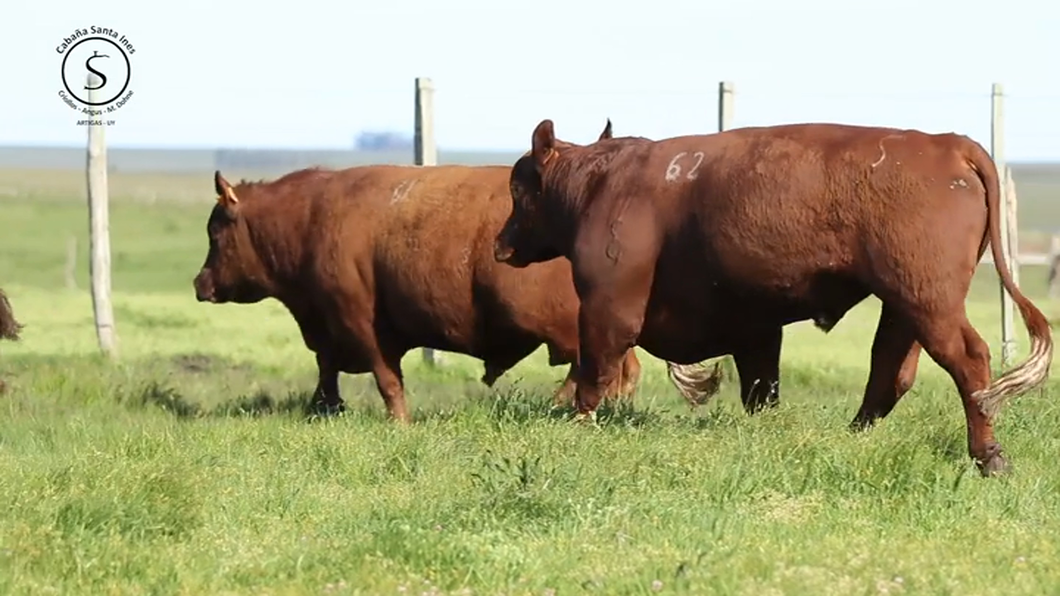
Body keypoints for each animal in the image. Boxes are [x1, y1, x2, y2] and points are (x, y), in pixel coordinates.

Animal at [195, 121, 716, 417]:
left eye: (215, 232)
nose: (200, 283)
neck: (310, 218)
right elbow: (328, 370)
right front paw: (324, 409)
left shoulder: (358, 320)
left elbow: (386, 380)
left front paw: (397, 423)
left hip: (584, 325)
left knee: (606, 368)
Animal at [493, 118, 1051, 475]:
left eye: (519, 188)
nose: (501, 243)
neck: (603, 183)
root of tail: (947, 143)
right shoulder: (754, 328)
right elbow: (761, 388)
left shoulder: (607, 306)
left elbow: (595, 368)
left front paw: (578, 423)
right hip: (906, 305)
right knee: (890, 370)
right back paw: (852, 435)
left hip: (930, 302)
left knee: (968, 360)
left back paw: (990, 458)